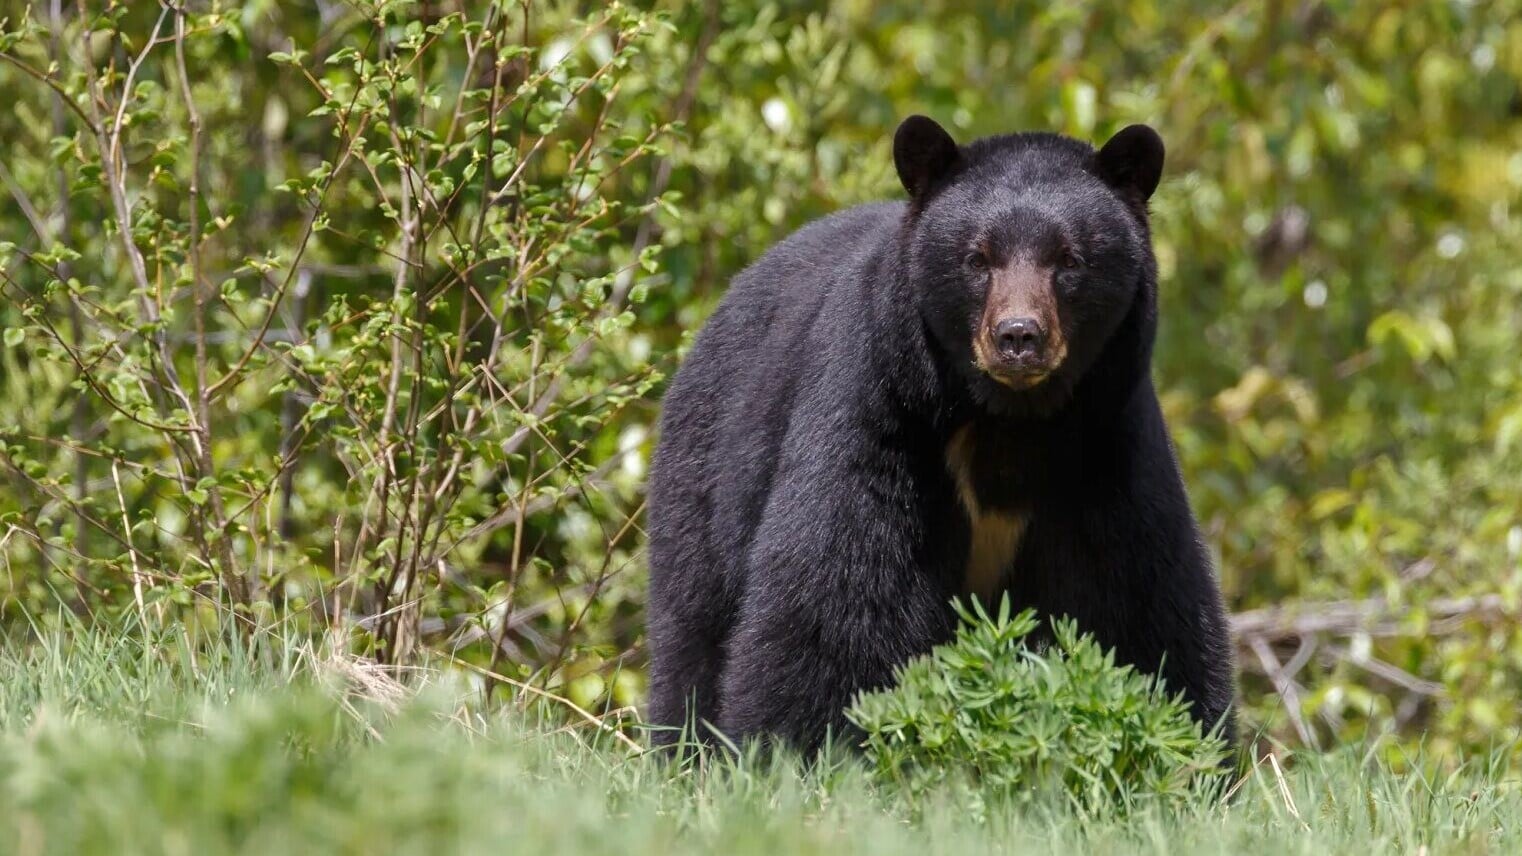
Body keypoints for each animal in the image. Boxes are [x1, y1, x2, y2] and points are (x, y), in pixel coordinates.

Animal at [645, 115, 1236, 753]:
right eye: (978, 258)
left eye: (1069, 259)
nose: (1018, 336)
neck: (1010, 420)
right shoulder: (881, 411)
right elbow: (837, 594)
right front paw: (797, 748)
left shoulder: (1106, 444)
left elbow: (1139, 602)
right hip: (707, 473)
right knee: (693, 629)